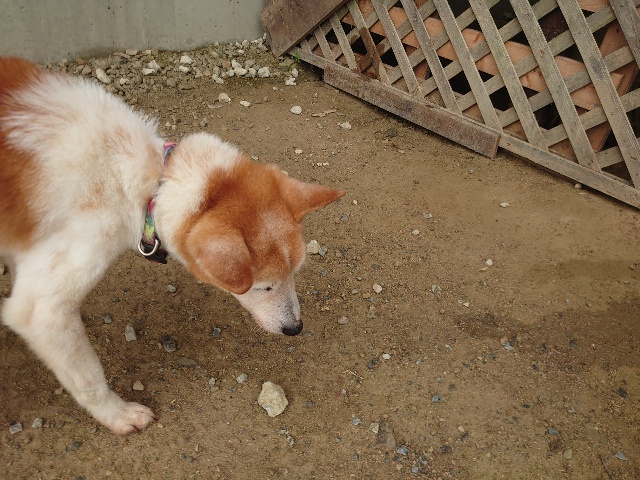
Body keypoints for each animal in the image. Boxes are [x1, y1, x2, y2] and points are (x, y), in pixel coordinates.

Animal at [0, 57, 344, 434]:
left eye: (295, 273)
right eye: (263, 286)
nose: (295, 329)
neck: (150, 180)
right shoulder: (42, 306)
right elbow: (86, 375)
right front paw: (117, 414)